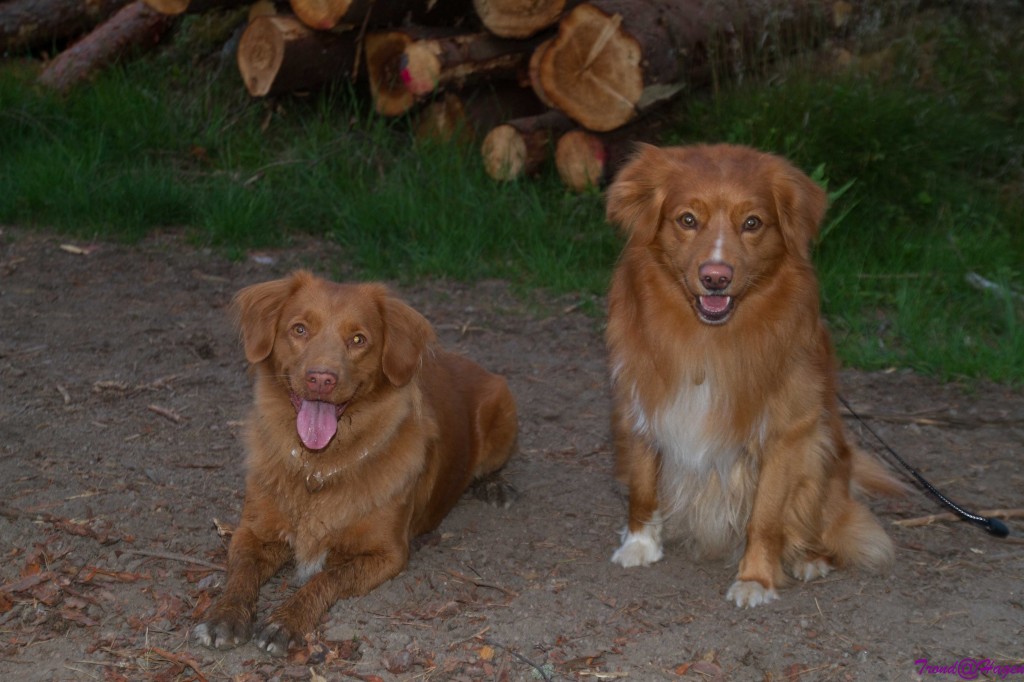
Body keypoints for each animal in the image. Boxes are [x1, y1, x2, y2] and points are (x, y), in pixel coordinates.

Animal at [191, 270, 516, 655]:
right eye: (299, 329)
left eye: (358, 339)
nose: (321, 378)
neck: (318, 467)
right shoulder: (252, 532)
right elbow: (241, 572)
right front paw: (225, 615)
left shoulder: (387, 554)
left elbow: (326, 577)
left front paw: (287, 621)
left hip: (503, 412)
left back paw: (495, 486)